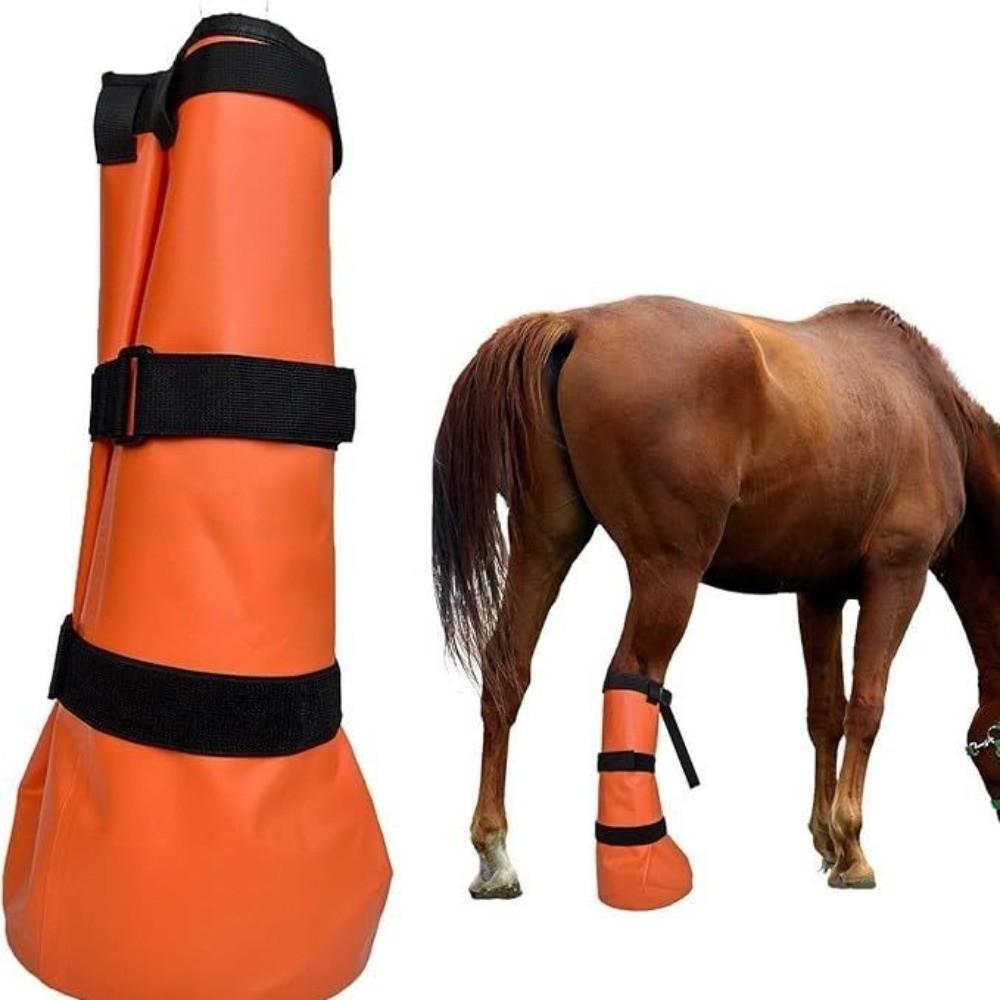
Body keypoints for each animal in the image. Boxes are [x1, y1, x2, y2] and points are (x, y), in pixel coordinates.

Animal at [432, 296, 999, 903]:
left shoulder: (818, 593)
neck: (931, 410)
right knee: (632, 677)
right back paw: (638, 865)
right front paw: (852, 850)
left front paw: (826, 841)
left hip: (544, 545)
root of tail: (576, 323)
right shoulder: (898, 578)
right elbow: (867, 708)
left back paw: (495, 855)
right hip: (667, 575)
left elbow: (826, 712)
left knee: (507, 670)